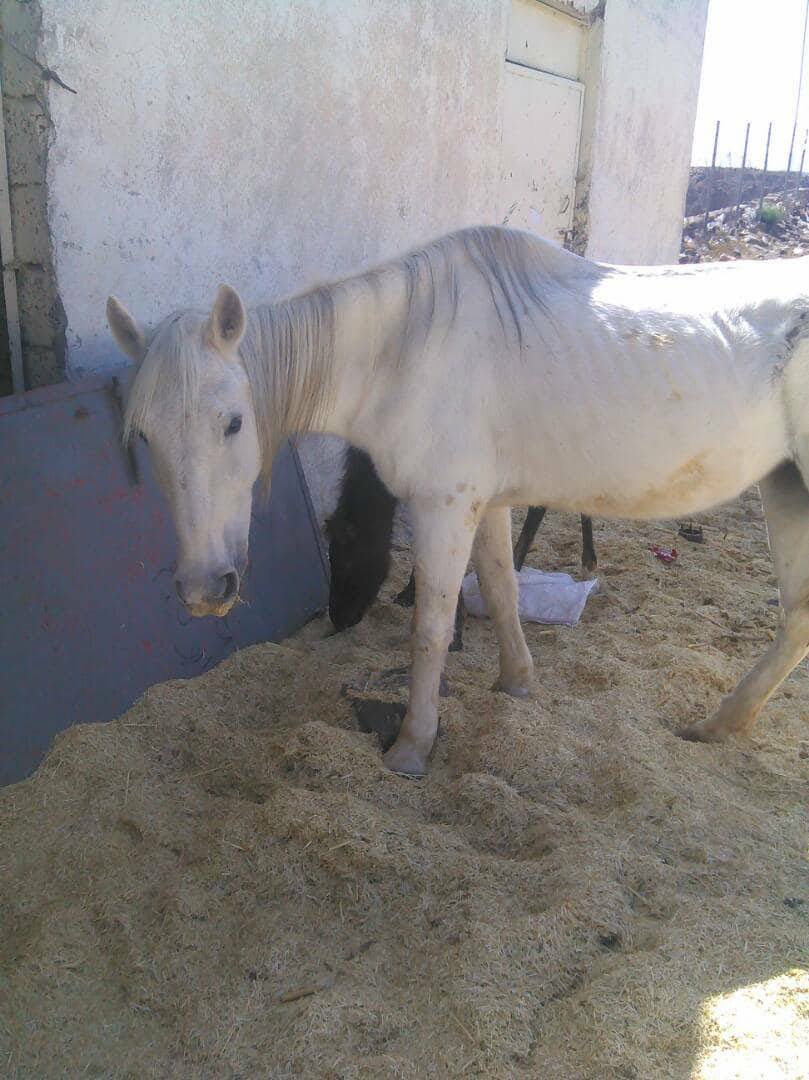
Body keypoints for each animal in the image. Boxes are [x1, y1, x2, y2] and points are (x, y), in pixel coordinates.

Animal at [109, 225, 809, 777]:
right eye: (143, 436)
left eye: (233, 423)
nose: (205, 589)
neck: (406, 348)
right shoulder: (486, 502)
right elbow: (500, 588)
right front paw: (515, 684)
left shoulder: (444, 507)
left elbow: (431, 626)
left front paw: (412, 748)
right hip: (786, 488)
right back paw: (721, 725)